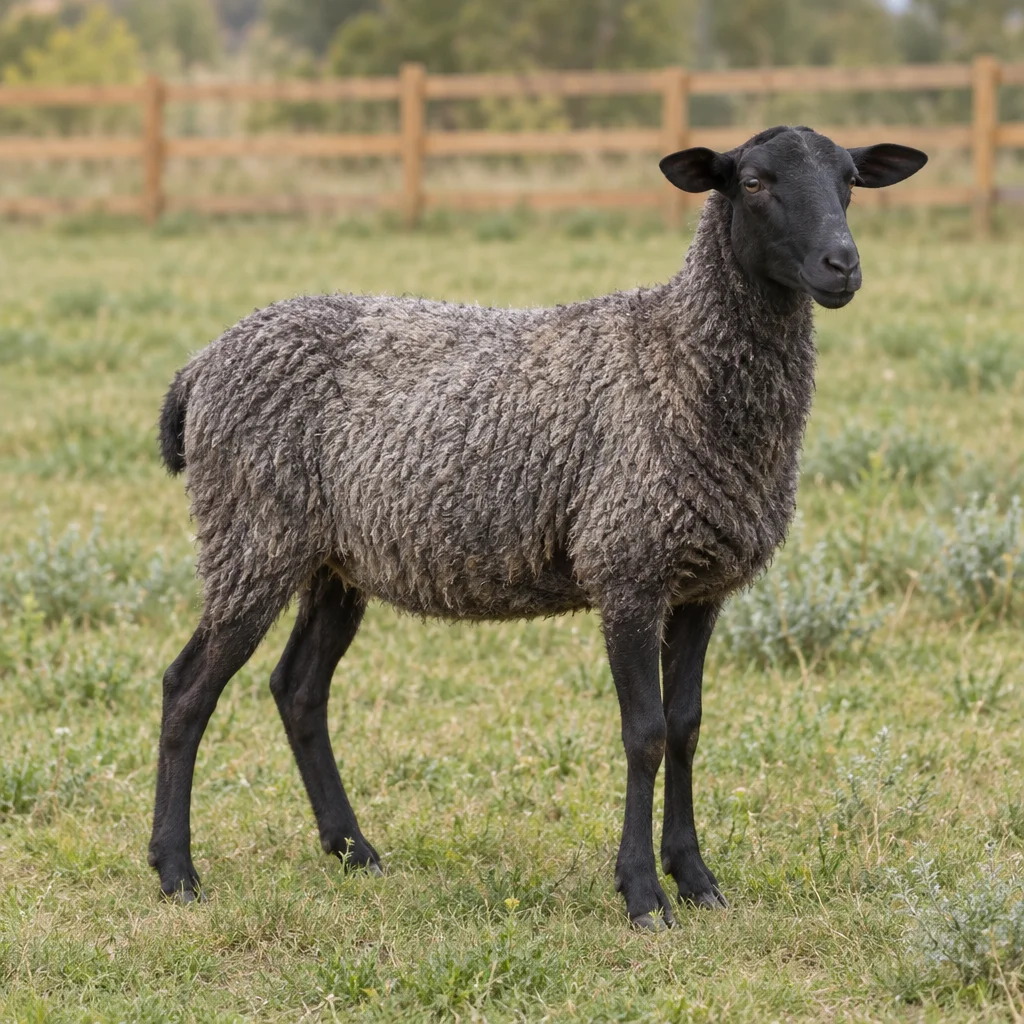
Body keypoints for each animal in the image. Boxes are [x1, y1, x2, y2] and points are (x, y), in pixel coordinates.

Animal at [150, 126, 927, 929]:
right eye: (752, 182)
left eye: (850, 180)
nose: (843, 265)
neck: (677, 356)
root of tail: (200, 366)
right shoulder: (627, 564)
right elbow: (644, 734)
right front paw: (643, 895)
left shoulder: (698, 585)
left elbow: (685, 729)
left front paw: (697, 880)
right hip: (250, 534)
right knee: (187, 688)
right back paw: (177, 871)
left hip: (333, 560)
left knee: (298, 689)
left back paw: (352, 851)